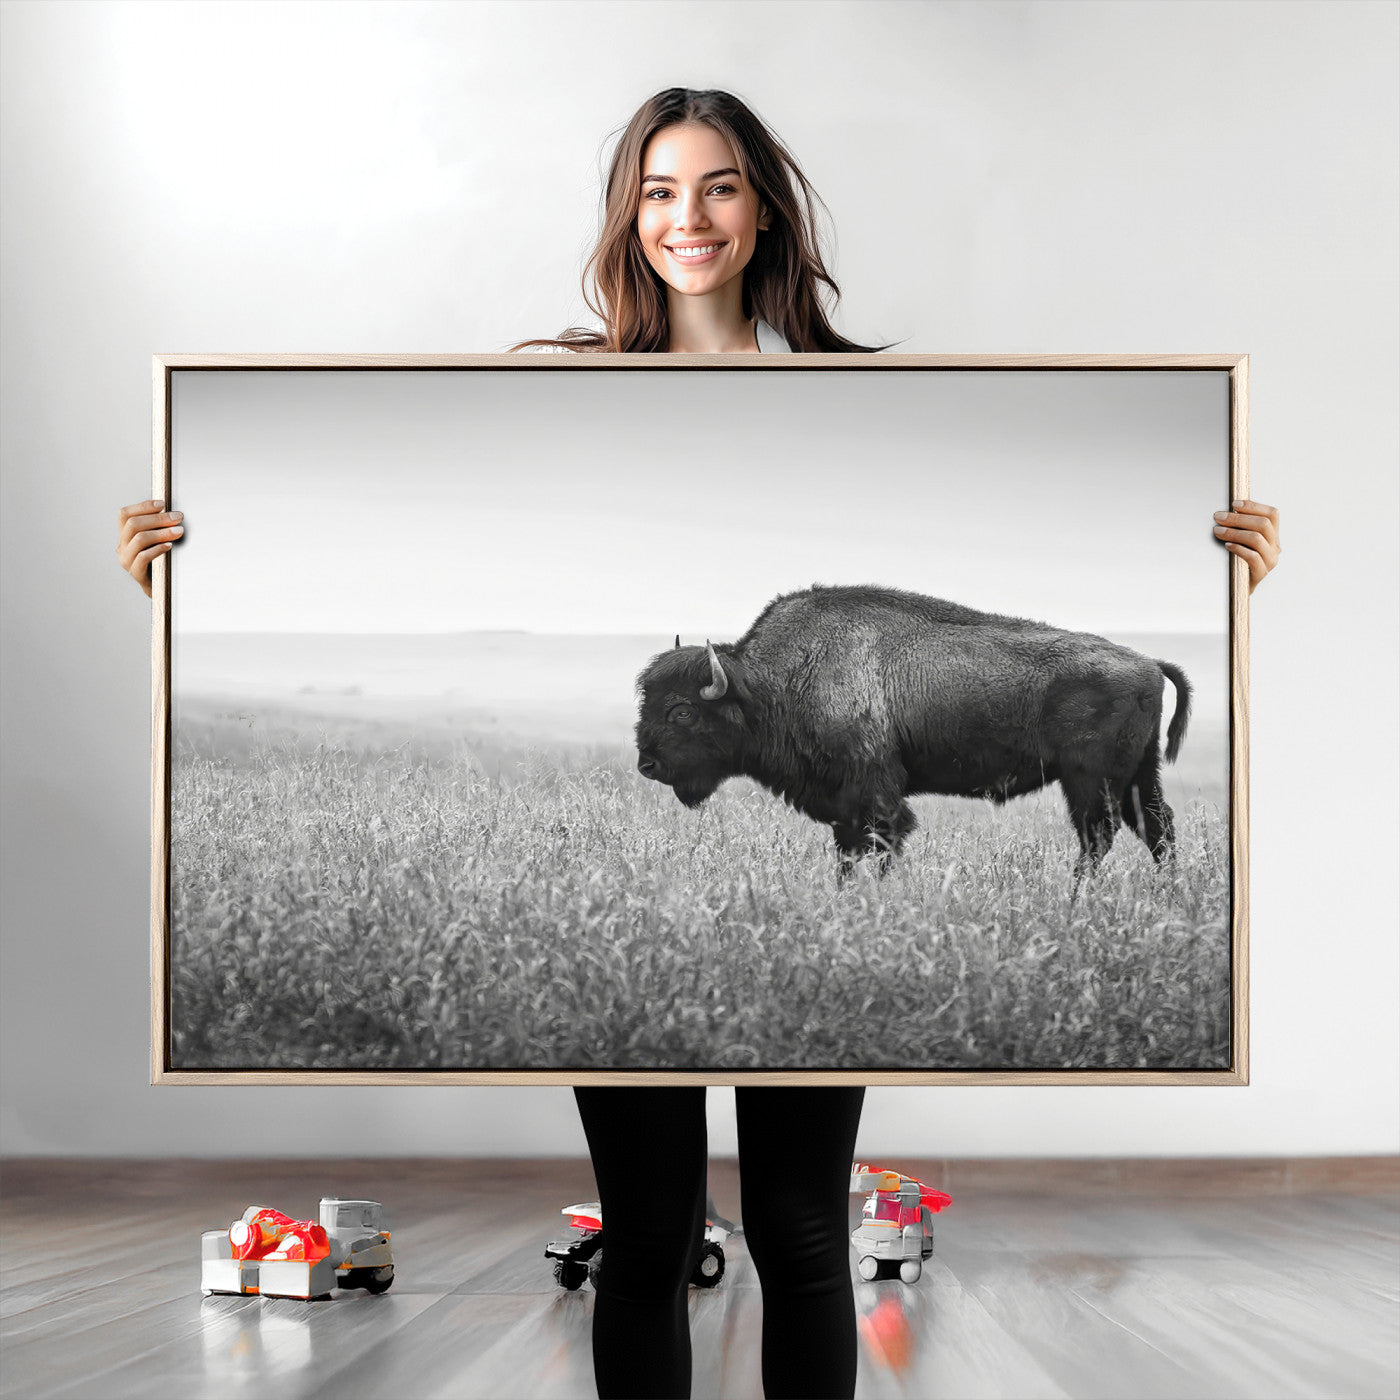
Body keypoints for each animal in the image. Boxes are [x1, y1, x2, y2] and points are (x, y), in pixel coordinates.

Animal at [634, 584, 1191, 882]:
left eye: (681, 712)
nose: (647, 765)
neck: (773, 683)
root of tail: (1148, 662)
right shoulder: (844, 806)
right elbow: (848, 852)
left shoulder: (875, 795)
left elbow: (882, 844)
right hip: (1138, 774)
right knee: (1156, 828)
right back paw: (1166, 894)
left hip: (1089, 780)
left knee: (1099, 835)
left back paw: (1075, 897)